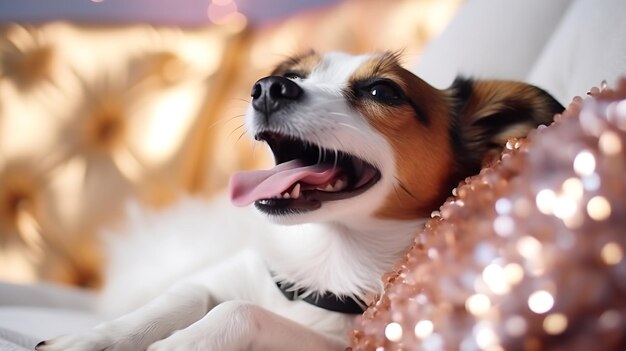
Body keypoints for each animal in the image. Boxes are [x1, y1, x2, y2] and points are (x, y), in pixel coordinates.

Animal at [35, 51, 560, 351]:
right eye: (290, 74)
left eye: (382, 90)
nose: (268, 87)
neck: (322, 257)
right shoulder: (226, 274)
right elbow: (178, 299)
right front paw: (90, 339)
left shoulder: (340, 343)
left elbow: (238, 311)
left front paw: (176, 348)